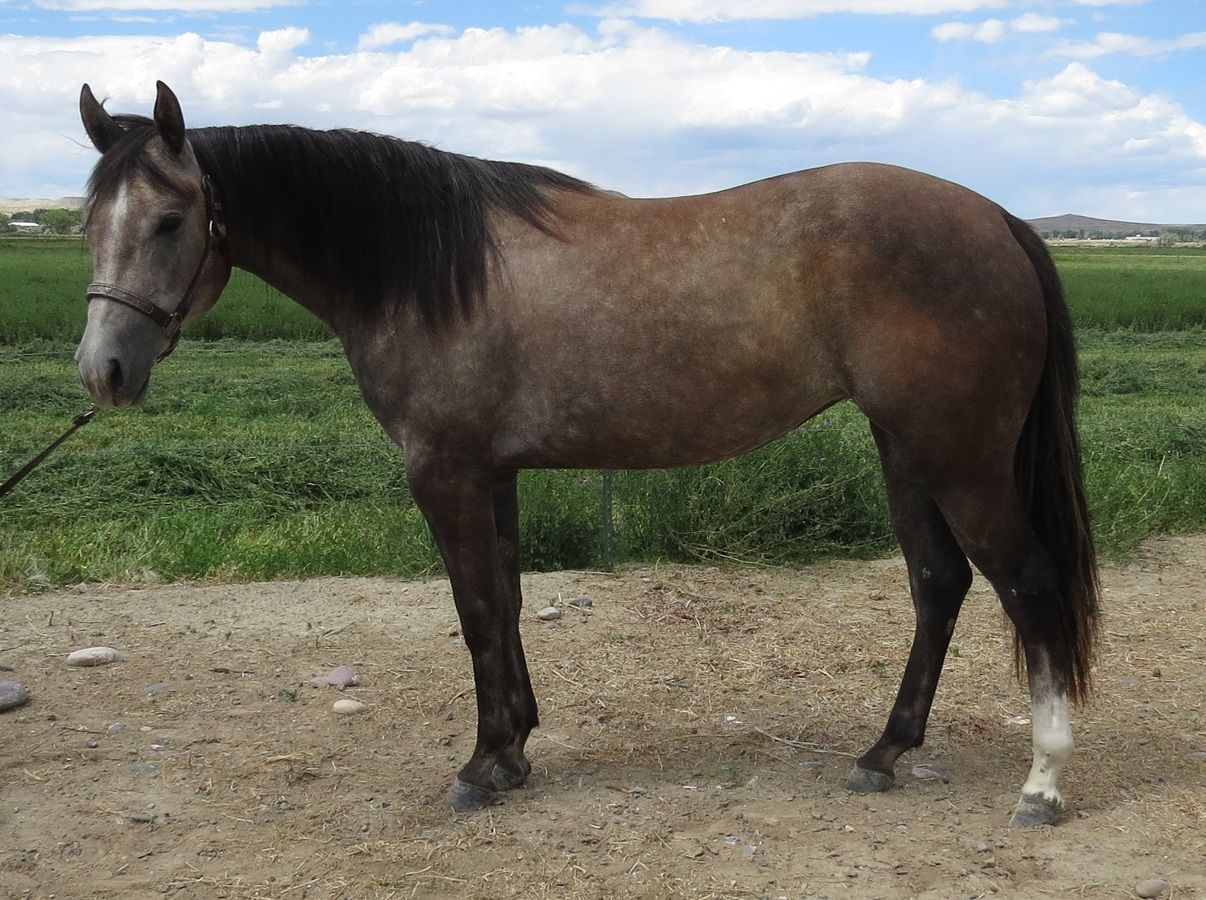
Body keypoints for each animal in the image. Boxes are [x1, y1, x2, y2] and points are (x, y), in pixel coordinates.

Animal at [75, 81, 1098, 826]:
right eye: (89, 222)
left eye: (170, 221)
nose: (103, 371)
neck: (428, 270)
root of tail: (997, 219)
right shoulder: (492, 474)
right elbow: (508, 602)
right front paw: (515, 748)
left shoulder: (445, 473)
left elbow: (477, 613)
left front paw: (480, 766)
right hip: (906, 448)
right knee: (939, 583)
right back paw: (883, 754)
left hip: (959, 458)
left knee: (1027, 584)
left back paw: (1043, 784)